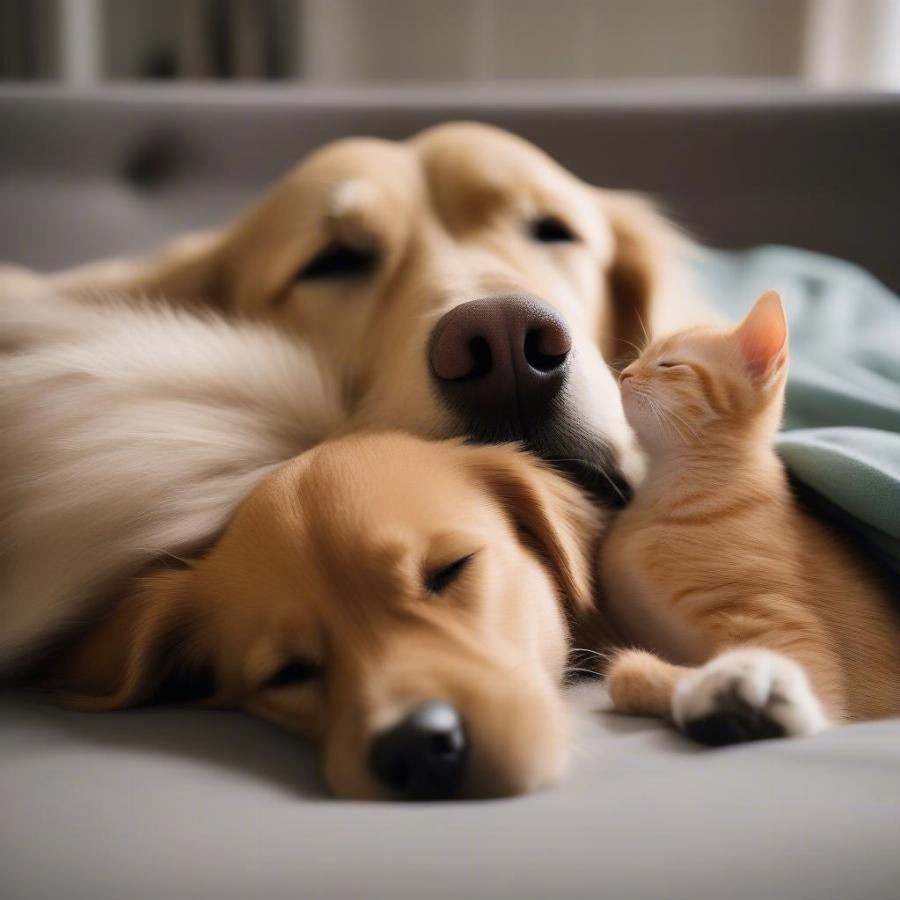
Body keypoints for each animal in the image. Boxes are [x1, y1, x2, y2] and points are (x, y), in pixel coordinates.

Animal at [596, 292, 900, 740]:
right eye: (640, 358)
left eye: (669, 364)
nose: (624, 374)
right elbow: (624, 675)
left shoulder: (778, 618)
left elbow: (820, 707)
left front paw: (731, 690)